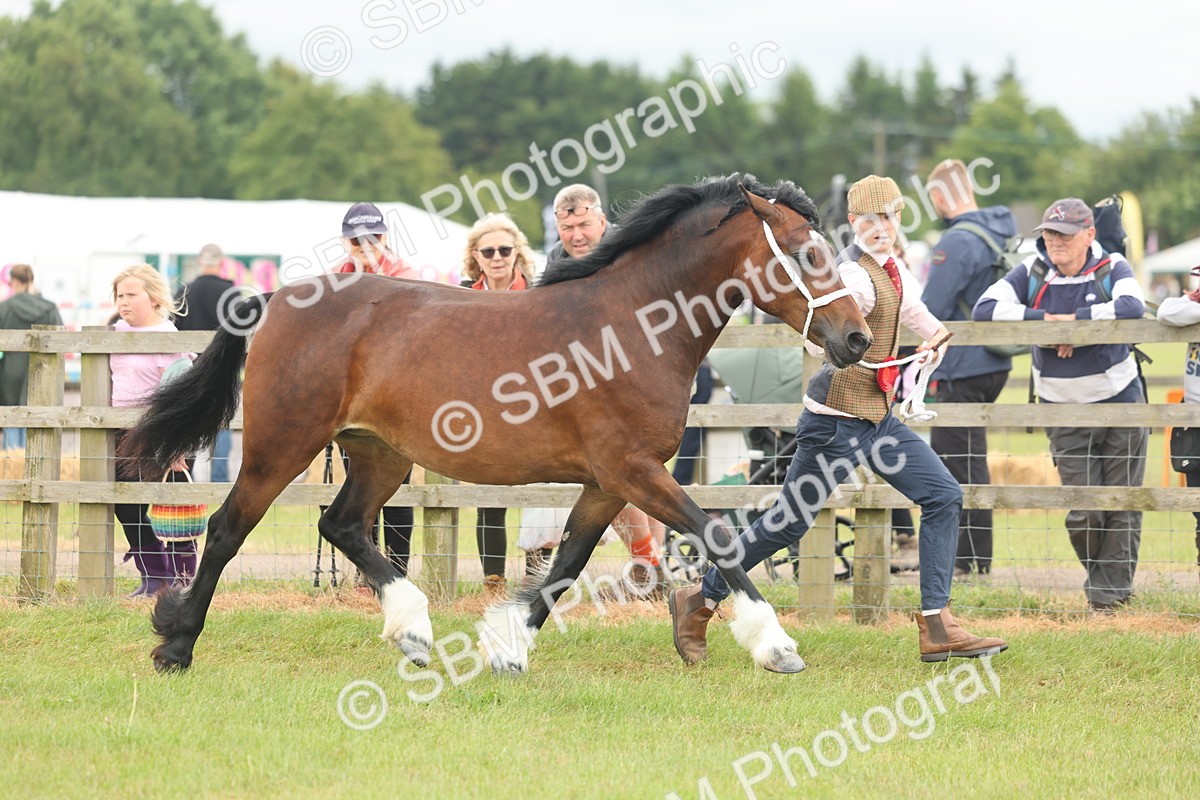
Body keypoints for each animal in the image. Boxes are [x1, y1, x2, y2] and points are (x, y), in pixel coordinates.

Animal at [121, 173, 872, 676]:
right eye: (807, 252)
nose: (858, 339)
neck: (634, 327)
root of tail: (275, 298)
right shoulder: (634, 470)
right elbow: (715, 535)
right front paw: (776, 645)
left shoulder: (608, 482)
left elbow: (565, 564)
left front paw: (507, 649)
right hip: (282, 445)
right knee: (227, 529)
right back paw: (176, 645)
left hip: (380, 455)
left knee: (341, 525)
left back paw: (413, 631)